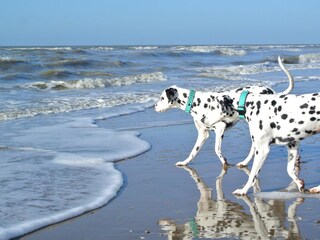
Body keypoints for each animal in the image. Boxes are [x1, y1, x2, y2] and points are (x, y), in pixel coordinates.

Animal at [154, 58, 294, 167]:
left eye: (162, 98)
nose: (154, 106)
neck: (195, 102)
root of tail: (271, 91)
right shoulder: (203, 134)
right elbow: (193, 152)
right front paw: (184, 162)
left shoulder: (220, 128)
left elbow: (216, 149)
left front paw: (224, 162)